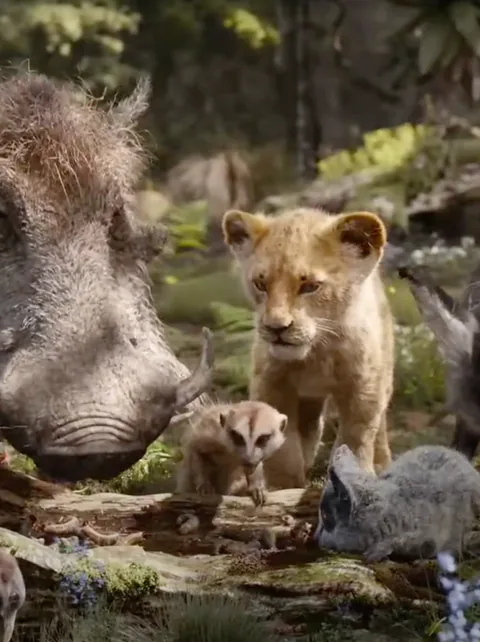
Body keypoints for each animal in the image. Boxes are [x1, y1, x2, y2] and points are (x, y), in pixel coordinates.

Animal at [222, 207, 394, 488]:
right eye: (260, 284)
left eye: (310, 286)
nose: (276, 327)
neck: (318, 353)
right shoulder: (271, 383)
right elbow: (281, 448)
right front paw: (282, 486)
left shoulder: (364, 386)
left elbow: (357, 437)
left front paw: (357, 477)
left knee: (379, 423)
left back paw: (382, 463)